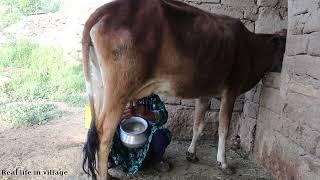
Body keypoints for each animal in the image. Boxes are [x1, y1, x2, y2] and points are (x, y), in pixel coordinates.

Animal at [81, 0, 286, 179]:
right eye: (284, 46)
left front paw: (191, 154)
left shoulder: (205, 93)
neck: (251, 48)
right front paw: (223, 163)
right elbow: (224, 127)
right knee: (104, 134)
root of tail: (107, 8)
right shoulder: (231, 89)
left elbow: (198, 124)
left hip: (101, 86)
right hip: (120, 88)